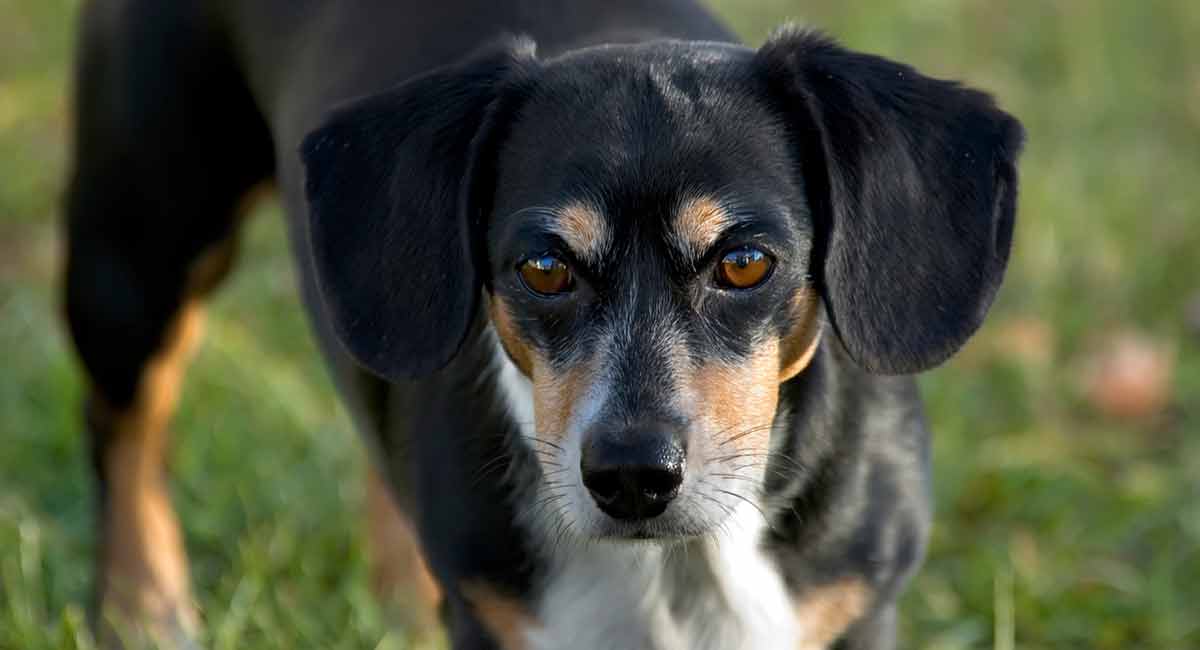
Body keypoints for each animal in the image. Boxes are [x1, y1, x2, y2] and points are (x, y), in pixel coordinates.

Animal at [63, 1, 1022, 650]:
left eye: (747, 262)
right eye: (544, 267)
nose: (632, 477)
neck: (677, 571)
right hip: (138, 247)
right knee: (124, 429)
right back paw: (143, 609)